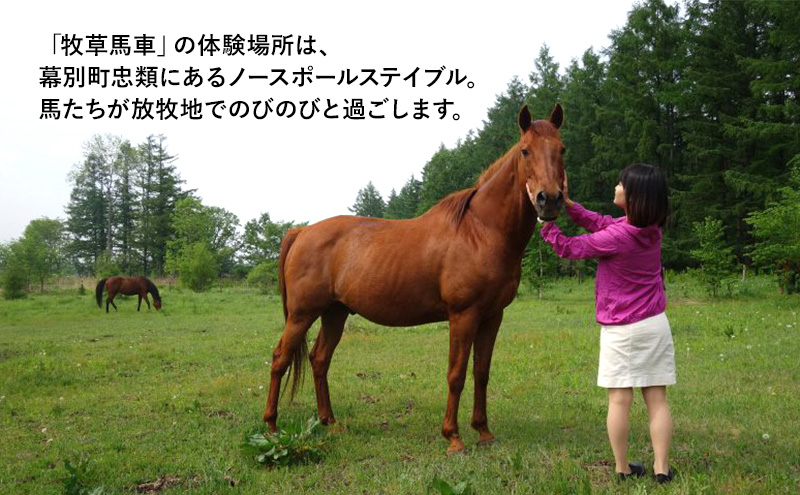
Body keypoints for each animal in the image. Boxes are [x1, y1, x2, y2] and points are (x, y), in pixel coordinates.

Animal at [264, 104, 566, 454]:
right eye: (525, 151)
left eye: (561, 149)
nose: (550, 199)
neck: (481, 231)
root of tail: (303, 231)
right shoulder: (463, 316)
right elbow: (456, 374)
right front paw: (453, 437)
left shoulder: (493, 316)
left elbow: (481, 372)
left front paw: (484, 432)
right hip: (302, 314)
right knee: (280, 359)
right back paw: (271, 426)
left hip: (334, 313)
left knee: (319, 359)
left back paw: (330, 422)